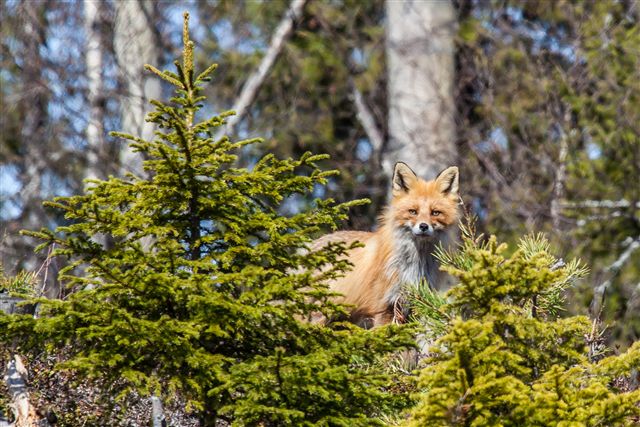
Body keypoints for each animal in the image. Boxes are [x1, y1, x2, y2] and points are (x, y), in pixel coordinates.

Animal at [312, 164, 458, 328]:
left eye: (435, 213)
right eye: (413, 211)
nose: (423, 226)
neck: (415, 265)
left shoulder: (417, 305)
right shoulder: (383, 307)